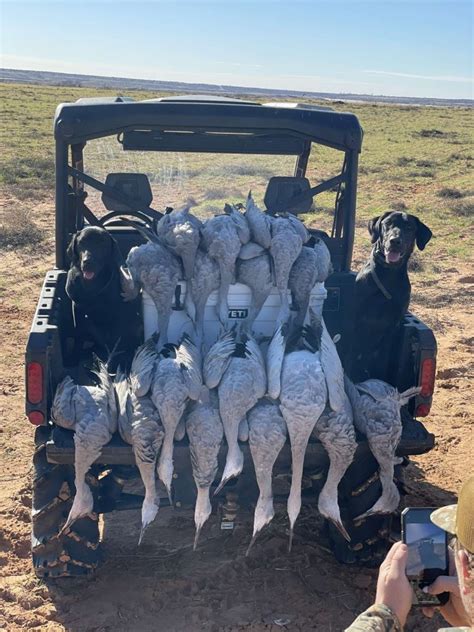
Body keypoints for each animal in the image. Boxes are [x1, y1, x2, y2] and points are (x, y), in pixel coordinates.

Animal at [65, 227, 142, 368]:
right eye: (81, 242)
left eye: (102, 244)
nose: (88, 262)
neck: (91, 286)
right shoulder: (77, 309)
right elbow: (78, 335)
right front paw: (73, 357)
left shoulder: (118, 315)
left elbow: (116, 342)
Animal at [348, 211, 434, 380]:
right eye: (387, 223)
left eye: (409, 227)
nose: (395, 241)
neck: (388, 275)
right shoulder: (356, 318)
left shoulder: (393, 325)